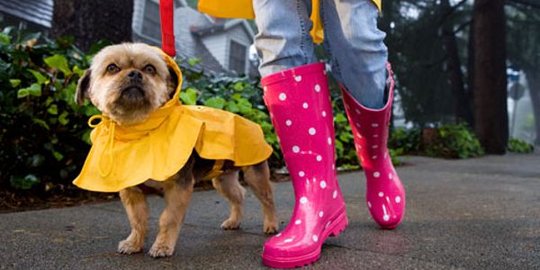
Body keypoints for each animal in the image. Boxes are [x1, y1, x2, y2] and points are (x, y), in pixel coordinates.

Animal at [75, 43, 278, 258]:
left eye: (150, 69)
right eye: (112, 68)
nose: (135, 74)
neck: (139, 129)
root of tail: (252, 122)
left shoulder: (179, 188)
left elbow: (168, 219)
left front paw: (163, 246)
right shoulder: (131, 192)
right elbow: (137, 220)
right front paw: (134, 243)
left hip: (255, 175)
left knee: (268, 199)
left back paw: (271, 225)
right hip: (223, 179)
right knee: (238, 194)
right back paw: (234, 221)